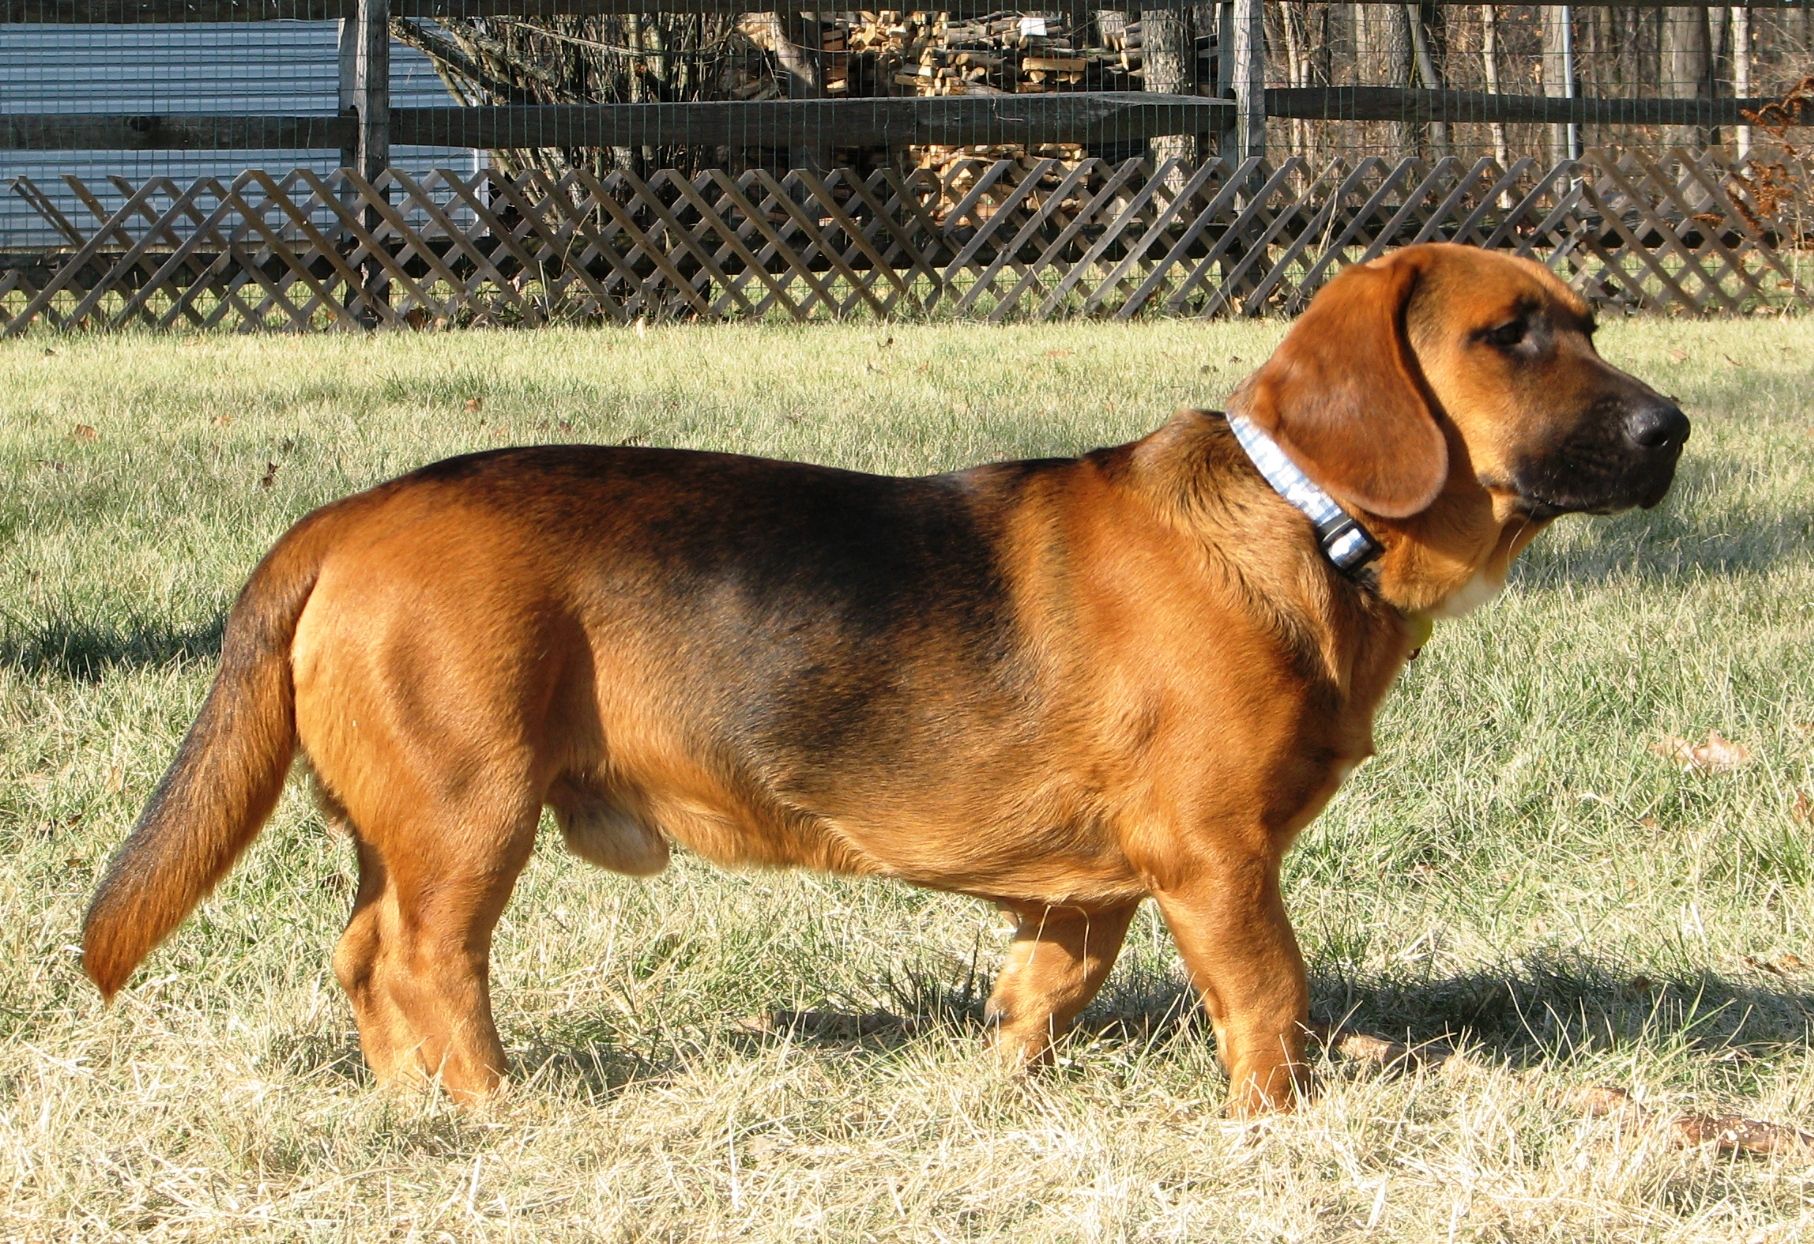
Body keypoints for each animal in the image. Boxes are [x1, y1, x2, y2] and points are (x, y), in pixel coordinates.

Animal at [85, 241, 1683, 1109]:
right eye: (1506, 336)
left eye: (1587, 322)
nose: (1672, 429)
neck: (1300, 521)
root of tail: (345, 516)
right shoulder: (1217, 859)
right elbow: (1268, 998)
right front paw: (1272, 1125)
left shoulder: (1089, 892)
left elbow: (1042, 990)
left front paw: (1003, 1090)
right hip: (472, 816)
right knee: (429, 964)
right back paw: (491, 1107)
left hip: (403, 826)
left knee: (365, 958)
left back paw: (411, 1105)